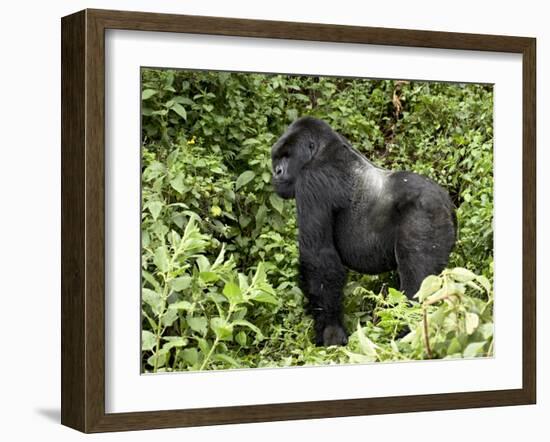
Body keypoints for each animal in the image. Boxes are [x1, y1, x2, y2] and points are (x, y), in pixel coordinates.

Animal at [272, 116, 458, 346]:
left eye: (287, 156)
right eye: (277, 158)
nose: (277, 171)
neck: (323, 150)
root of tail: (447, 204)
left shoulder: (312, 181)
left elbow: (319, 259)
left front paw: (331, 333)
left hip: (426, 216)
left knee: (417, 282)